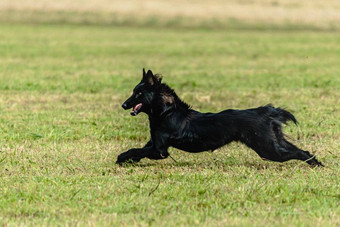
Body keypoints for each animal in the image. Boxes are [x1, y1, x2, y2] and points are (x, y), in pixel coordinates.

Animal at [117, 69, 322, 167]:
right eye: (134, 91)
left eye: (139, 93)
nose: (124, 105)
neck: (166, 112)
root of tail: (265, 112)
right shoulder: (154, 144)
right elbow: (138, 150)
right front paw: (128, 161)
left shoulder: (160, 151)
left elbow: (136, 150)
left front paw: (122, 159)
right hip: (274, 142)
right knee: (303, 151)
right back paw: (317, 164)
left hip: (267, 148)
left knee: (298, 153)